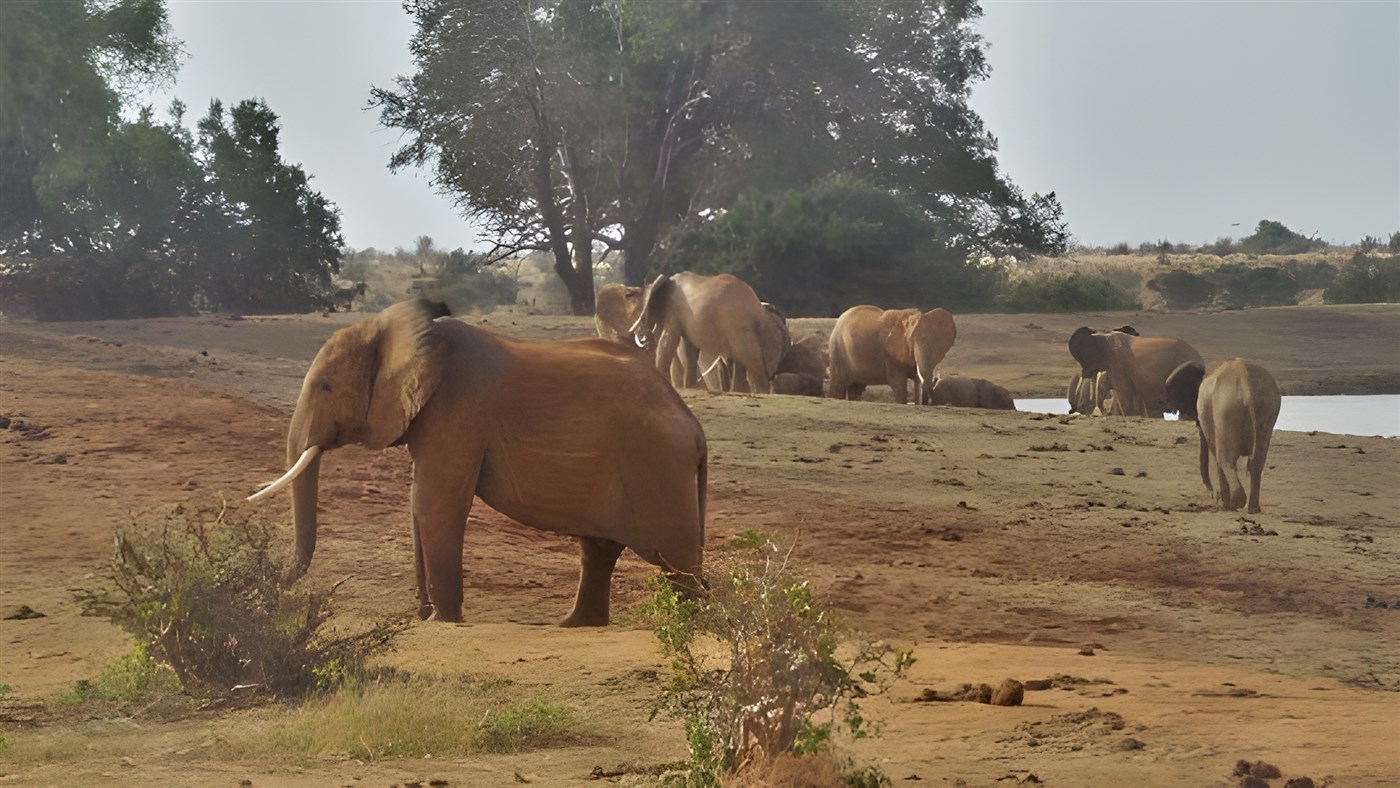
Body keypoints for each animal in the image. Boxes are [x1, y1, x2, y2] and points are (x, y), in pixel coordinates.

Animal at [248, 299, 707, 626]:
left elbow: (435, 504)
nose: (272, 586)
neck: (402, 334)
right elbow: (419, 506)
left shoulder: (457, 412)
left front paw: (443, 619)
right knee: (598, 549)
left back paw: (693, 623)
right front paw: (427, 614)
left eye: (326, 386)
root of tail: (693, 424)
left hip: (657, 468)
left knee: (677, 564)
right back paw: (573, 625)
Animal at [630, 272, 782, 394]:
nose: (644, 338)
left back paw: (760, 392)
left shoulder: (673, 309)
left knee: (747, 357)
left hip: (739, 327)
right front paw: (690, 387)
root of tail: (760, 313)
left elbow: (668, 341)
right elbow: (689, 348)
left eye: (643, 315)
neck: (668, 279)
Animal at [827, 305, 957, 404]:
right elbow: (898, 383)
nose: (928, 402)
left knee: (855, 389)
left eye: (938, 346)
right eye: (911, 341)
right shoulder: (891, 356)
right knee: (838, 386)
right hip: (837, 349)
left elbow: (917, 381)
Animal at [1164, 358, 1281, 513]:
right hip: (1266, 407)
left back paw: (1233, 504)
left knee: (1224, 458)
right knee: (1257, 462)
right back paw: (1252, 509)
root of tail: (1244, 380)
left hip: (1225, 409)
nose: (1213, 494)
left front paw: (1223, 505)